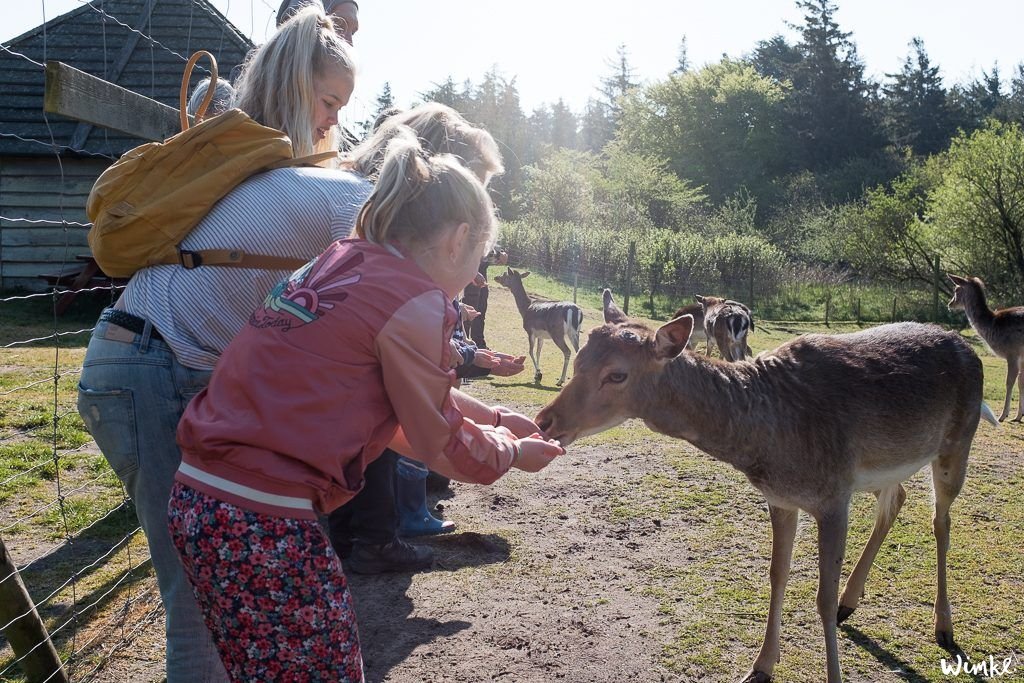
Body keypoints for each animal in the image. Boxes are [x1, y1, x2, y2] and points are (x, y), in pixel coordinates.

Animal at [536, 290, 999, 683]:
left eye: (617, 374)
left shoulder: (834, 494)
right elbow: (777, 574)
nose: (545, 420)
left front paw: (829, 668)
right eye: (579, 357)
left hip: (958, 442)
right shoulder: (782, 498)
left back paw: (943, 626)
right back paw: (852, 601)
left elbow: (820, 597)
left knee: (941, 522)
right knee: (895, 499)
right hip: (886, 466)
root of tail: (968, 349)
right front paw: (759, 666)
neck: (770, 442)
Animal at [942, 272, 1024, 421]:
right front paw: (1018, 416)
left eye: (956, 290)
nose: (950, 304)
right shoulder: (1021, 355)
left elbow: (1009, 381)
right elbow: (1021, 382)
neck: (991, 325)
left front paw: (1003, 415)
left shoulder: (1012, 351)